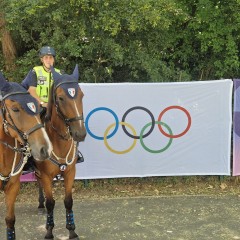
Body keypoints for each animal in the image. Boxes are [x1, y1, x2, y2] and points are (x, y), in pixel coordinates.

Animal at [33, 64, 86, 239]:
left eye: (81, 95)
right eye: (61, 98)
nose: (80, 133)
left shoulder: (70, 172)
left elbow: (68, 201)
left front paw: (72, 230)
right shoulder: (46, 175)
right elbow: (51, 203)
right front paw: (49, 230)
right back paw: (41, 205)